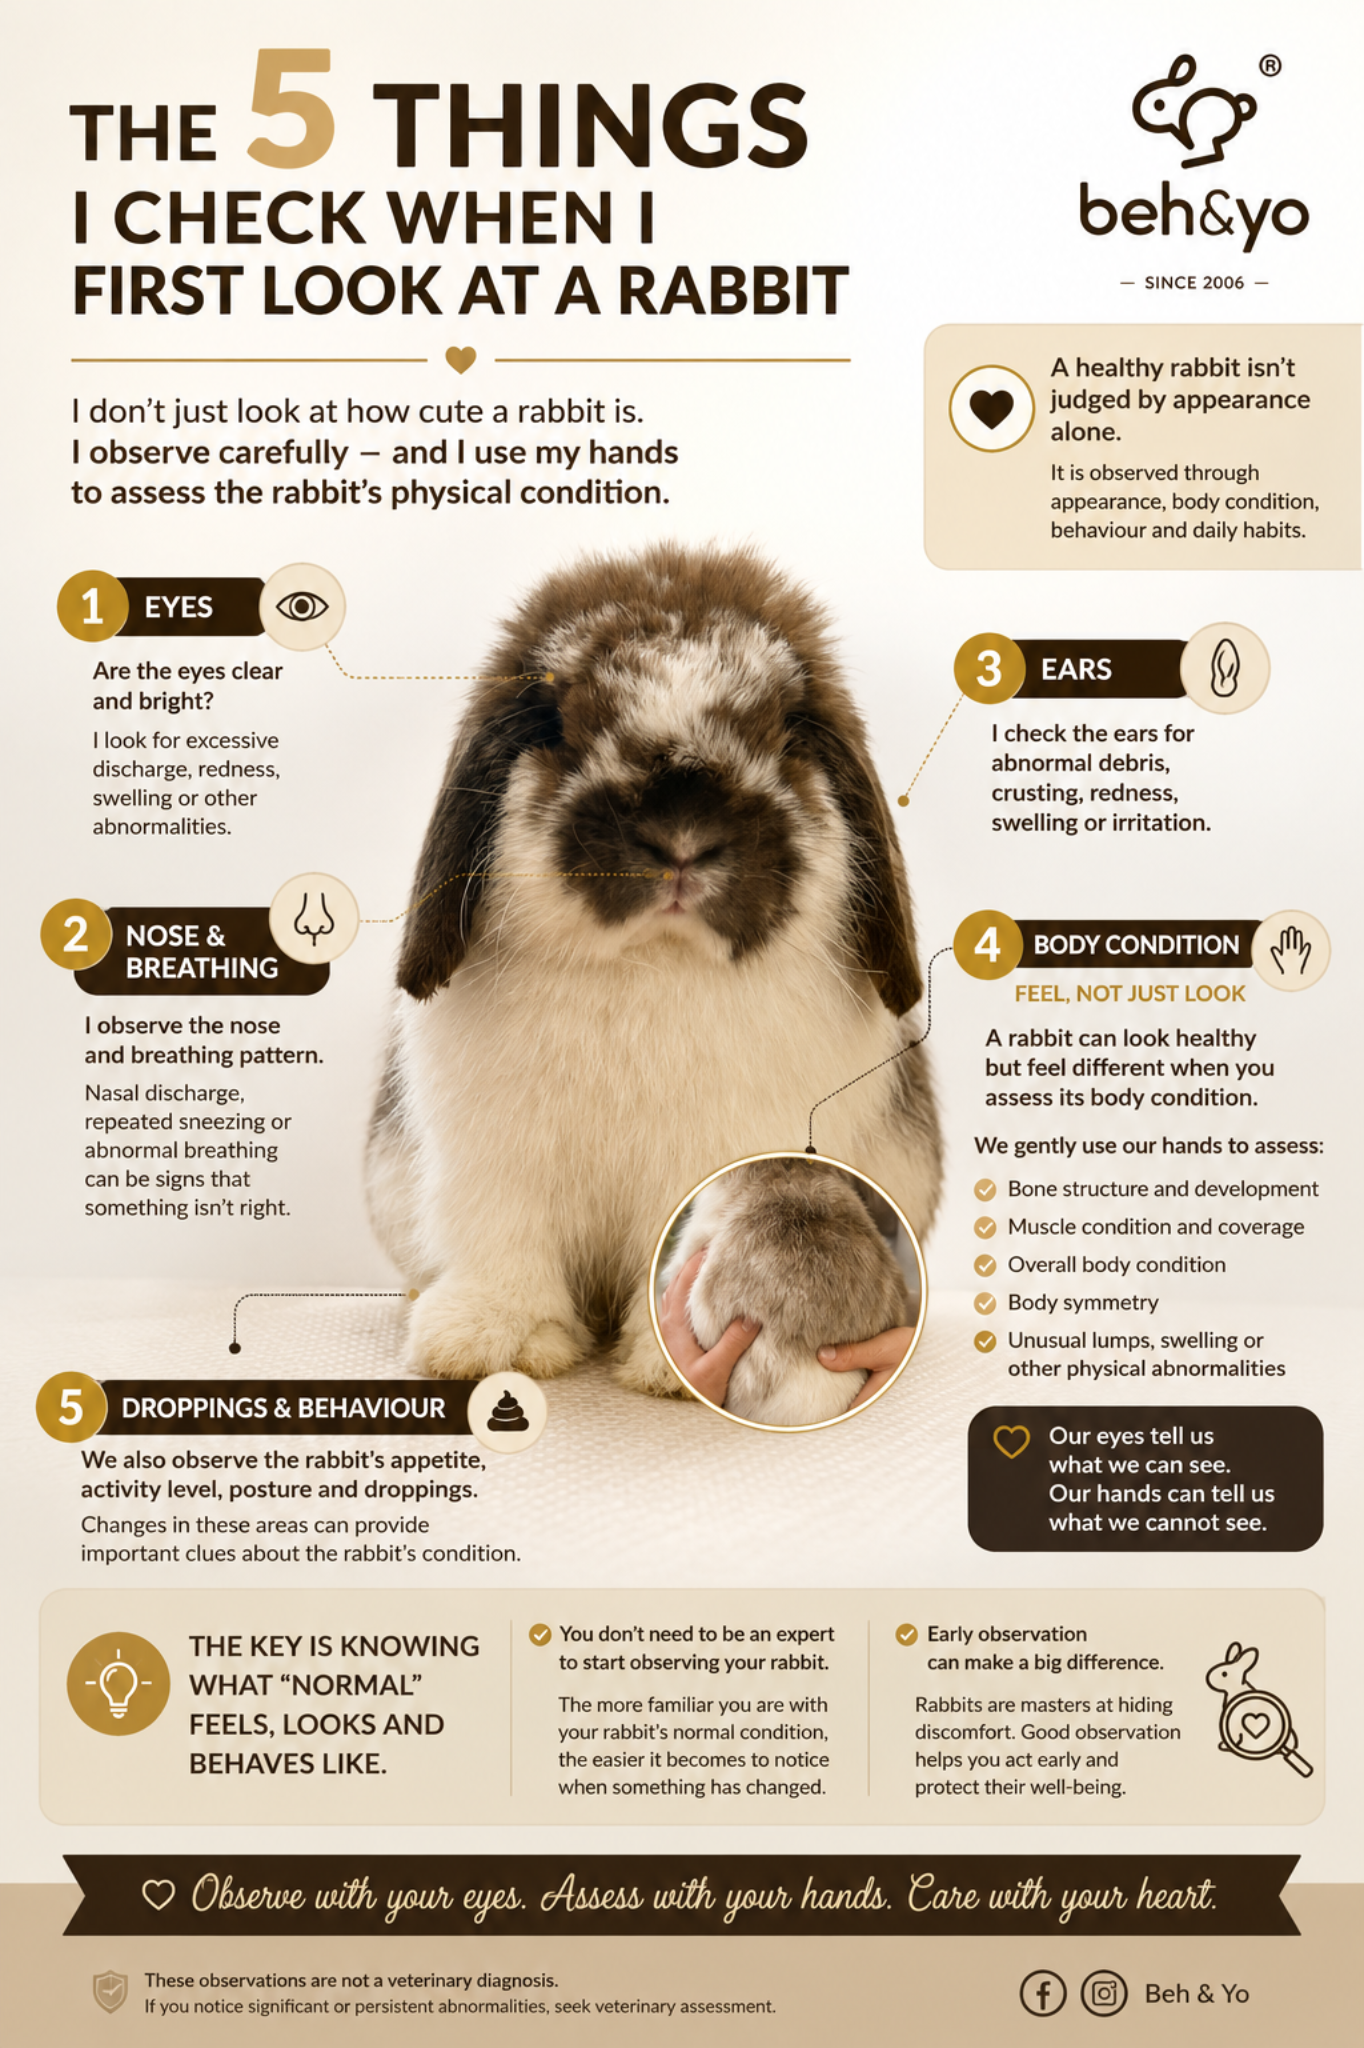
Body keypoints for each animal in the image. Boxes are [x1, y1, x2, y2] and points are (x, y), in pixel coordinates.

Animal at [365, 541, 942, 1394]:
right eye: (558, 726)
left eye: (786, 736)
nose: (681, 836)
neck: (653, 964)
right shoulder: (493, 1166)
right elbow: (503, 1246)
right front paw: (489, 1340)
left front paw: (663, 1368)